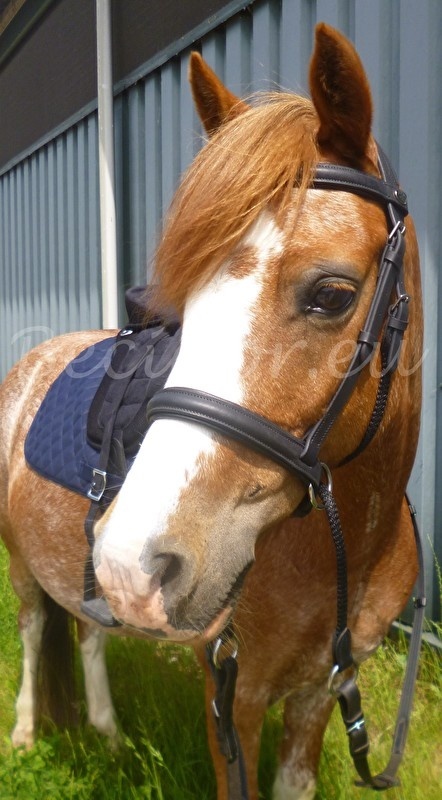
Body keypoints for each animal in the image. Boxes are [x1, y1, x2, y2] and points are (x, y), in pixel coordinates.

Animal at [0, 23, 423, 800]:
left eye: (332, 295)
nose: (135, 562)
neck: (345, 547)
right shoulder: (234, 697)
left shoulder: (319, 695)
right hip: (24, 562)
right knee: (35, 628)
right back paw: (23, 733)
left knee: (88, 631)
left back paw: (106, 733)